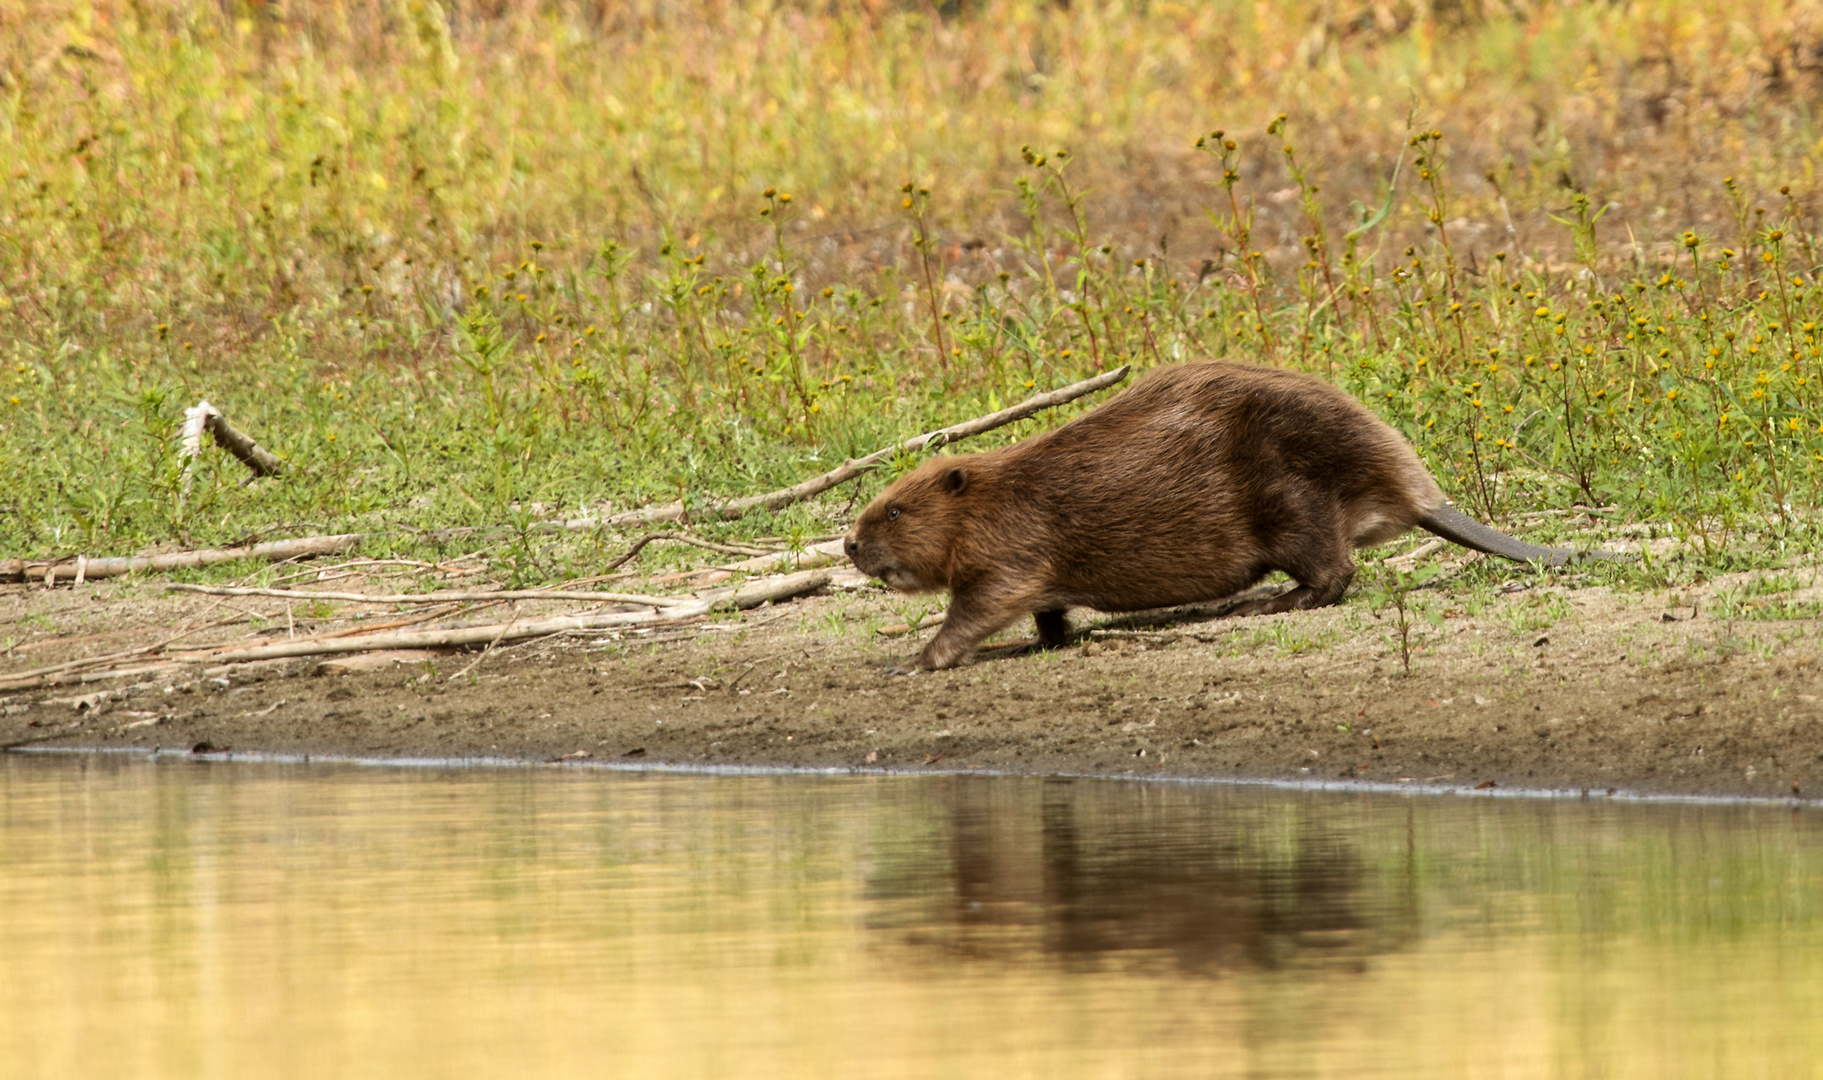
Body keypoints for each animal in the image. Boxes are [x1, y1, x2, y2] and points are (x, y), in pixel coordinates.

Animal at [845, 359, 1618, 671]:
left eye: (895, 510)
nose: (849, 546)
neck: (1003, 489)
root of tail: (1423, 495)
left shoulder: (1013, 544)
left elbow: (984, 602)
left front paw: (911, 661)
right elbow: (1047, 614)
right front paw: (1037, 643)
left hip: (1290, 501)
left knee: (1334, 571)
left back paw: (1263, 603)